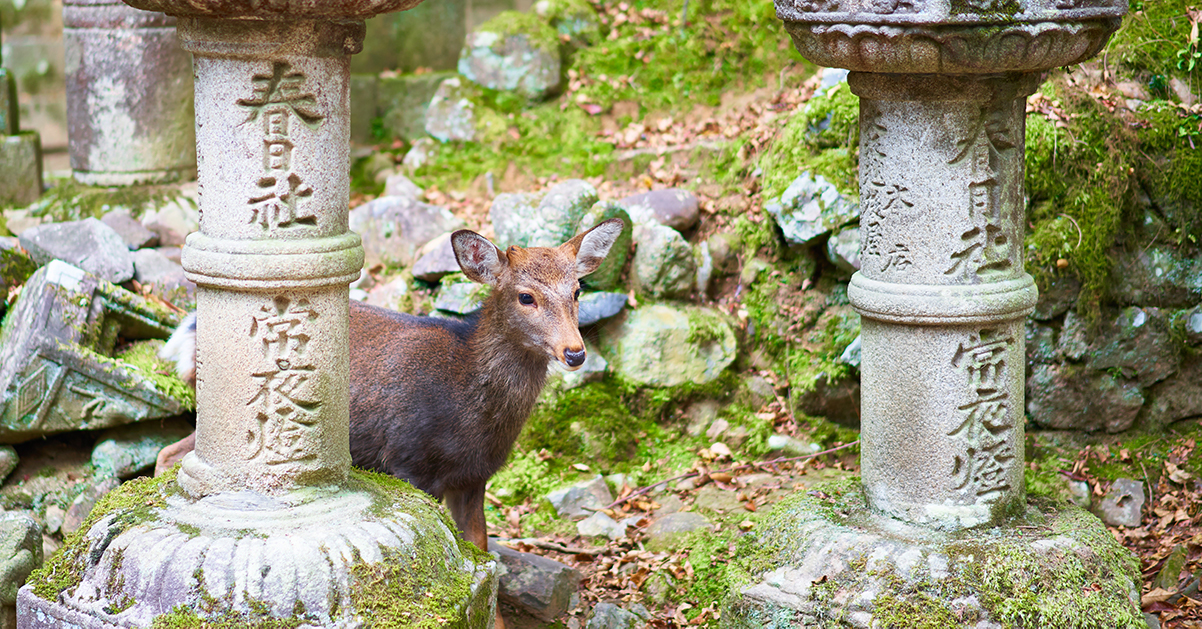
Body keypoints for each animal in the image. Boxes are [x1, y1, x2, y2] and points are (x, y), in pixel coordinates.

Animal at [155, 218, 625, 626]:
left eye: (577, 290)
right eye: (526, 296)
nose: (575, 352)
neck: (469, 409)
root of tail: (187, 332)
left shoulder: (474, 476)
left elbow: (483, 552)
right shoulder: (409, 460)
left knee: (169, 451)